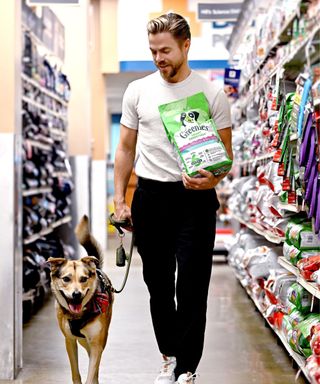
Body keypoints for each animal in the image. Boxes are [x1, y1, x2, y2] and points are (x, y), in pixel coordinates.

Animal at [47, 216, 112, 384]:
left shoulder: (97, 342)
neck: (78, 315)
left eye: (83, 279)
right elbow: (75, 372)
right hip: (82, 340)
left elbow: (92, 372)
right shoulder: (69, 340)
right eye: (66, 279)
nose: (76, 294)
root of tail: (97, 268)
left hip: (100, 338)